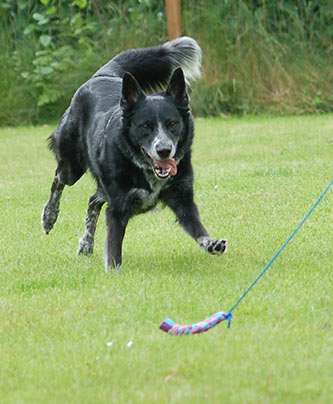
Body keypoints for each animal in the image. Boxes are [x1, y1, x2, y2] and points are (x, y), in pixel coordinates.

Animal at [41, 38, 226, 270]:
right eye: (145, 126)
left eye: (172, 124)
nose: (164, 150)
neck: (144, 168)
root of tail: (103, 75)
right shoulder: (117, 208)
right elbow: (114, 246)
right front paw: (114, 271)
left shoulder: (182, 200)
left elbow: (197, 228)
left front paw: (211, 243)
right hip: (72, 166)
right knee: (59, 179)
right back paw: (49, 216)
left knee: (93, 200)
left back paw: (86, 244)